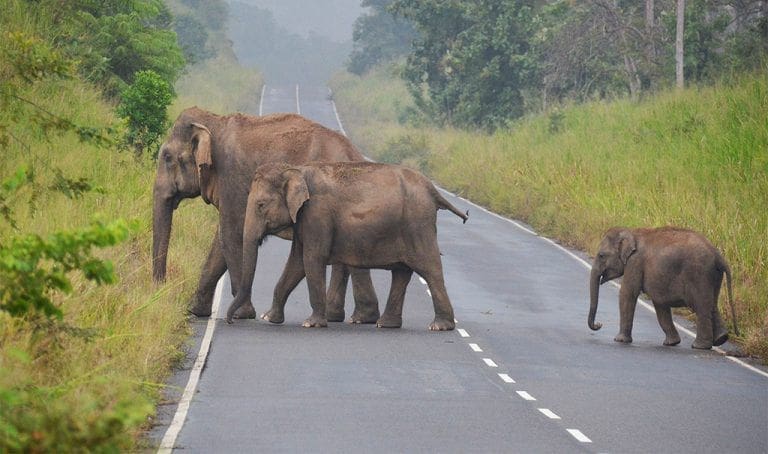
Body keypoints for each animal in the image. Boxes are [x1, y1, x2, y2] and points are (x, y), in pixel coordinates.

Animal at [151, 107, 380, 323]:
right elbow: (221, 240)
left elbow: (232, 235)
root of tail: (354, 153)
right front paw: (194, 311)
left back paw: (356, 317)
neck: (214, 121)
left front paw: (242, 314)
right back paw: (341, 316)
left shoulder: (231, 178)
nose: (162, 290)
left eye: (167, 157)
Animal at [225, 161, 469, 331]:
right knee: (402, 273)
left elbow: (312, 260)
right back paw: (386, 324)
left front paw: (311, 323)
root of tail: (432, 190)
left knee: (430, 269)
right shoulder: (303, 220)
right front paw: (270, 318)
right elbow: (296, 263)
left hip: (418, 227)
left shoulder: (317, 214)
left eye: (260, 205)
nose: (230, 321)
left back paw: (439, 326)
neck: (297, 169)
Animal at [588, 226, 739, 349]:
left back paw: (699, 346)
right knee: (712, 304)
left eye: (601, 255)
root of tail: (718, 255)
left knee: (701, 306)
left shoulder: (635, 262)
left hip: (699, 274)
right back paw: (721, 339)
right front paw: (672, 343)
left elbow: (627, 293)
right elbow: (659, 303)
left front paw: (619, 340)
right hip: (714, 276)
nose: (599, 324)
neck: (631, 232)